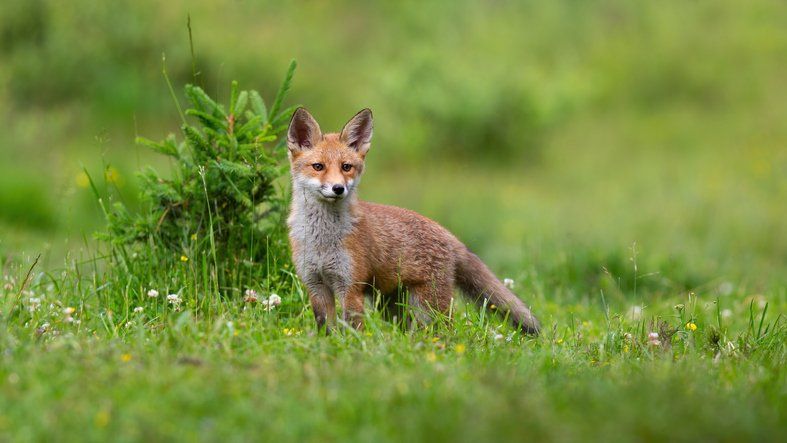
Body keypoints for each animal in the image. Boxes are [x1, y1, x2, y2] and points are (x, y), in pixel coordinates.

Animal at [286, 107, 540, 335]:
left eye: (346, 167)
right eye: (318, 167)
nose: (338, 188)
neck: (322, 239)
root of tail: (449, 234)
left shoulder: (350, 286)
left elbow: (354, 329)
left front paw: (353, 348)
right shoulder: (315, 284)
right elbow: (326, 329)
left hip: (428, 305)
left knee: (444, 332)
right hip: (390, 303)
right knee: (408, 330)